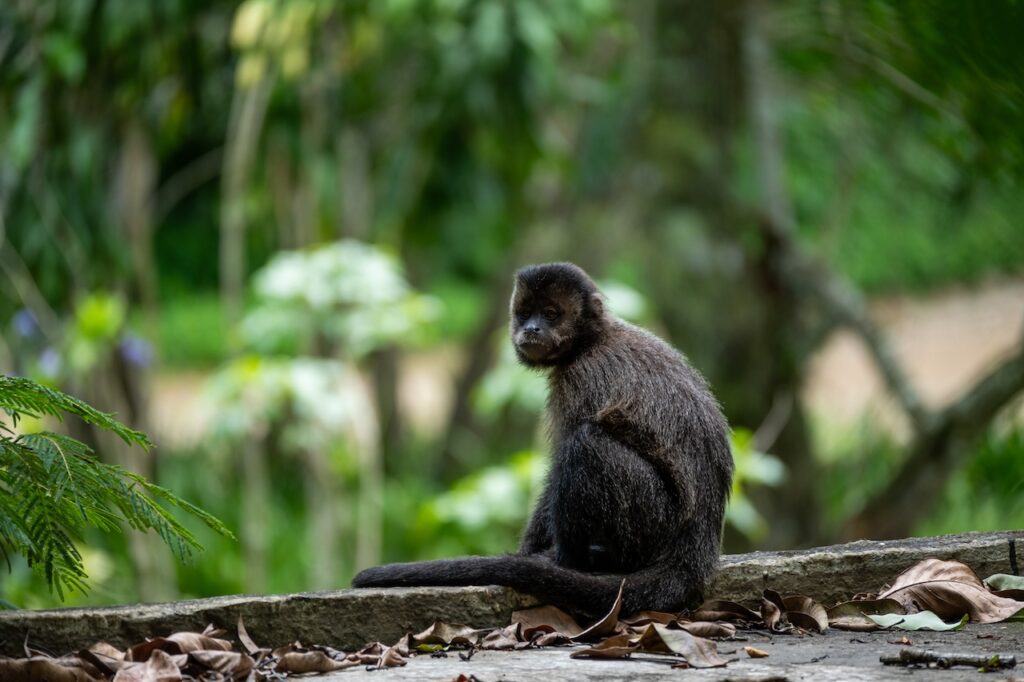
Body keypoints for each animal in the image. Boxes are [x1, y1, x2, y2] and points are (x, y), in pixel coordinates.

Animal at [354, 261, 737, 614]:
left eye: (551, 314)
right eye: (525, 314)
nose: (532, 328)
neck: (590, 342)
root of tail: (696, 549)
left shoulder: (581, 379)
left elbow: (561, 461)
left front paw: (536, 557)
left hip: (655, 522)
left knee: (586, 444)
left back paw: (573, 561)